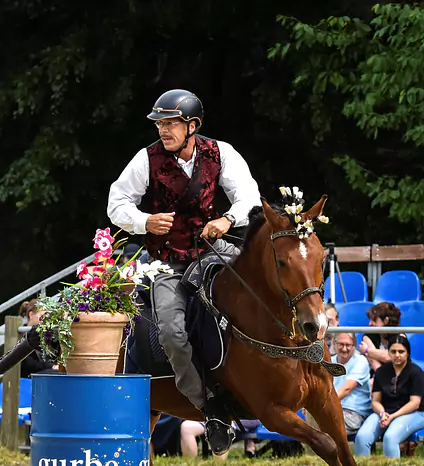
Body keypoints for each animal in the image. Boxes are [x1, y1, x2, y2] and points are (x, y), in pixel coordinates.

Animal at [144, 197, 356, 466]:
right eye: (282, 262)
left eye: (320, 258)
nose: (315, 325)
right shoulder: (271, 411)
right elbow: (327, 445)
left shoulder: (326, 399)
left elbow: (343, 449)